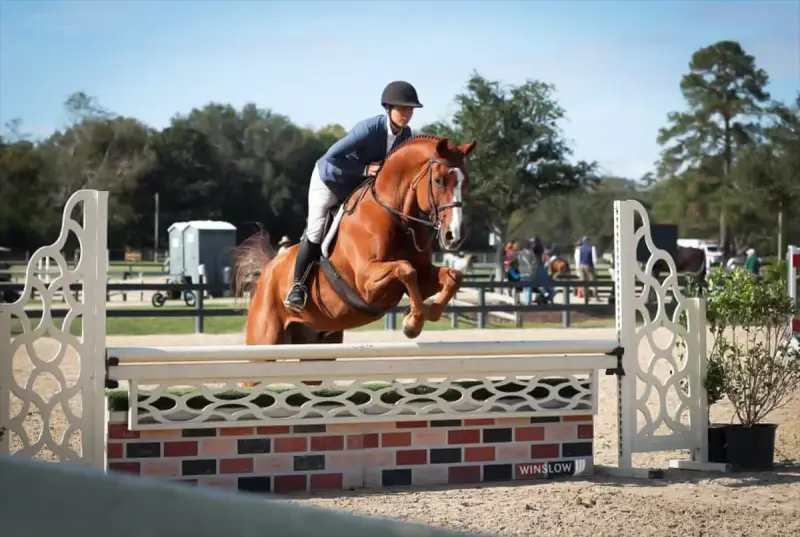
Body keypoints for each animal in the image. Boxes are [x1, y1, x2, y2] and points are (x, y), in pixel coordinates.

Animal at [233, 135, 478, 351]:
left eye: (465, 183)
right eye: (438, 181)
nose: (454, 236)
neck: (397, 217)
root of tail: (267, 270)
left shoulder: (424, 275)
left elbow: (452, 276)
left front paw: (428, 312)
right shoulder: (366, 284)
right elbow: (406, 270)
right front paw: (413, 322)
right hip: (264, 340)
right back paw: (295, 297)